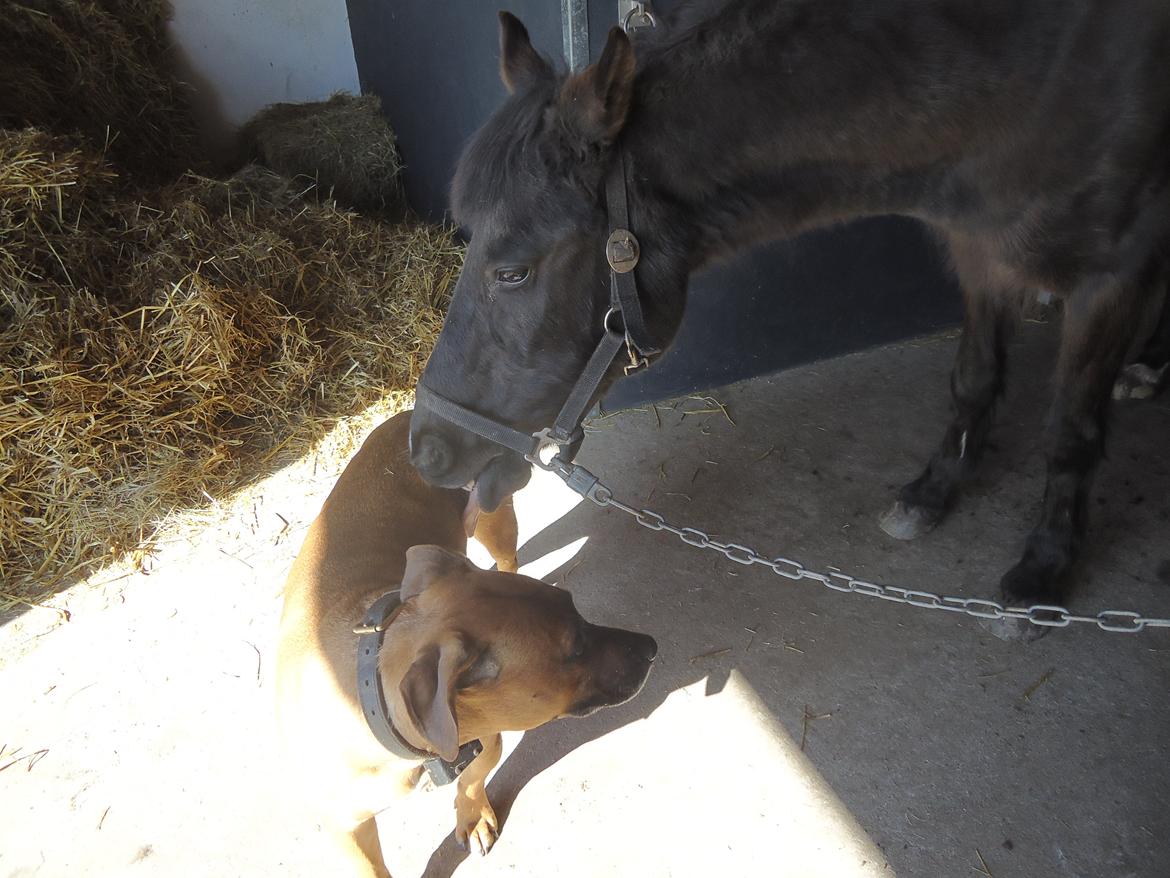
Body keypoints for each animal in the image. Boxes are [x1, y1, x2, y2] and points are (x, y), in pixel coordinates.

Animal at [276, 414, 659, 878]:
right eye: (575, 650)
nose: (651, 646)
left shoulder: (486, 736)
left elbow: (474, 780)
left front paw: (473, 816)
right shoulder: (345, 827)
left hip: (493, 514)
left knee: (508, 557)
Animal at [411, 0, 1170, 641]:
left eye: (513, 272)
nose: (425, 451)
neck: (1022, 74)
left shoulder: (1110, 278)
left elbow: (1069, 433)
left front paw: (1043, 569)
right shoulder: (978, 252)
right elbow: (975, 378)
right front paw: (933, 492)